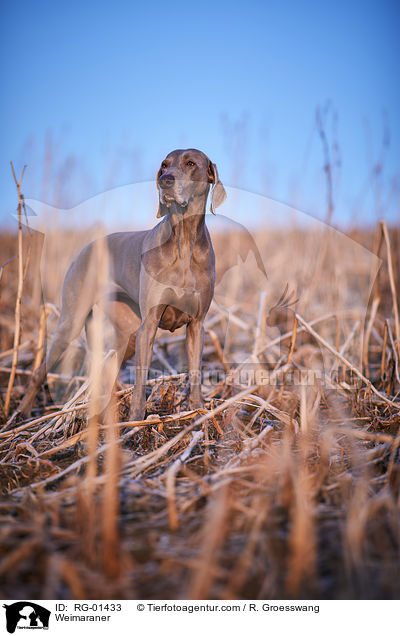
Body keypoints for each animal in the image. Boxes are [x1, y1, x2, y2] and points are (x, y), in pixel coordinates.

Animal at [20, 149, 227, 422]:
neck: (183, 240)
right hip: (72, 322)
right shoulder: (148, 326)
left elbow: (195, 373)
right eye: (164, 165)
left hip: (127, 333)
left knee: (109, 367)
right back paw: (22, 412)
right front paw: (136, 419)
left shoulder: (197, 326)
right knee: (39, 371)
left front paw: (198, 410)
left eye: (191, 163)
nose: (166, 181)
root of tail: (86, 248)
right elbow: (140, 379)